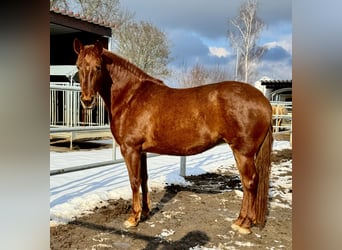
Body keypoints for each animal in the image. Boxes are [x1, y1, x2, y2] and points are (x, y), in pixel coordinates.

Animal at [74, 39, 272, 234]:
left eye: (98, 66)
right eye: (78, 66)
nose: (87, 101)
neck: (131, 96)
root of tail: (264, 101)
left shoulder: (130, 149)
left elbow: (134, 181)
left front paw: (133, 218)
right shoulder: (141, 151)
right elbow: (144, 178)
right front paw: (145, 212)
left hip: (243, 152)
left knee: (249, 182)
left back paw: (243, 224)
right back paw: (242, 220)